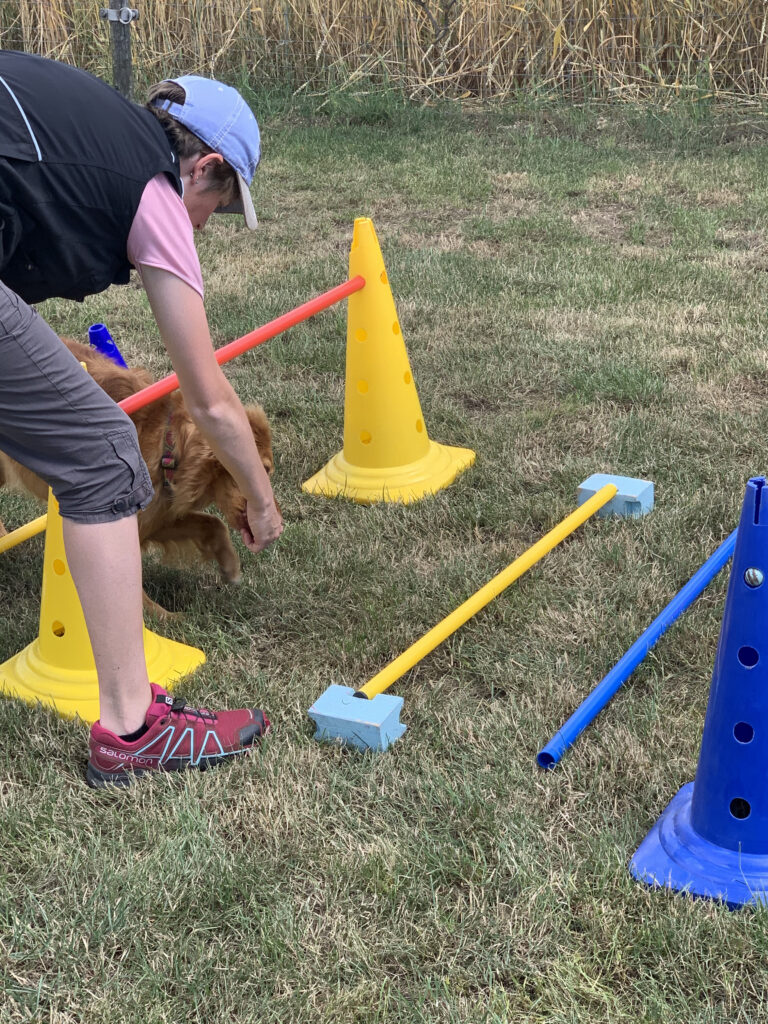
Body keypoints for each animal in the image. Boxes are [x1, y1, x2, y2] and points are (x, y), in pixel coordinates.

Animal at [0, 339, 276, 618]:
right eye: (263, 469)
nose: (275, 520)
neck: (167, 445)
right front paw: (161, 617)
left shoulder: (158, 517)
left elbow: (212, 523)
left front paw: (230, 566)